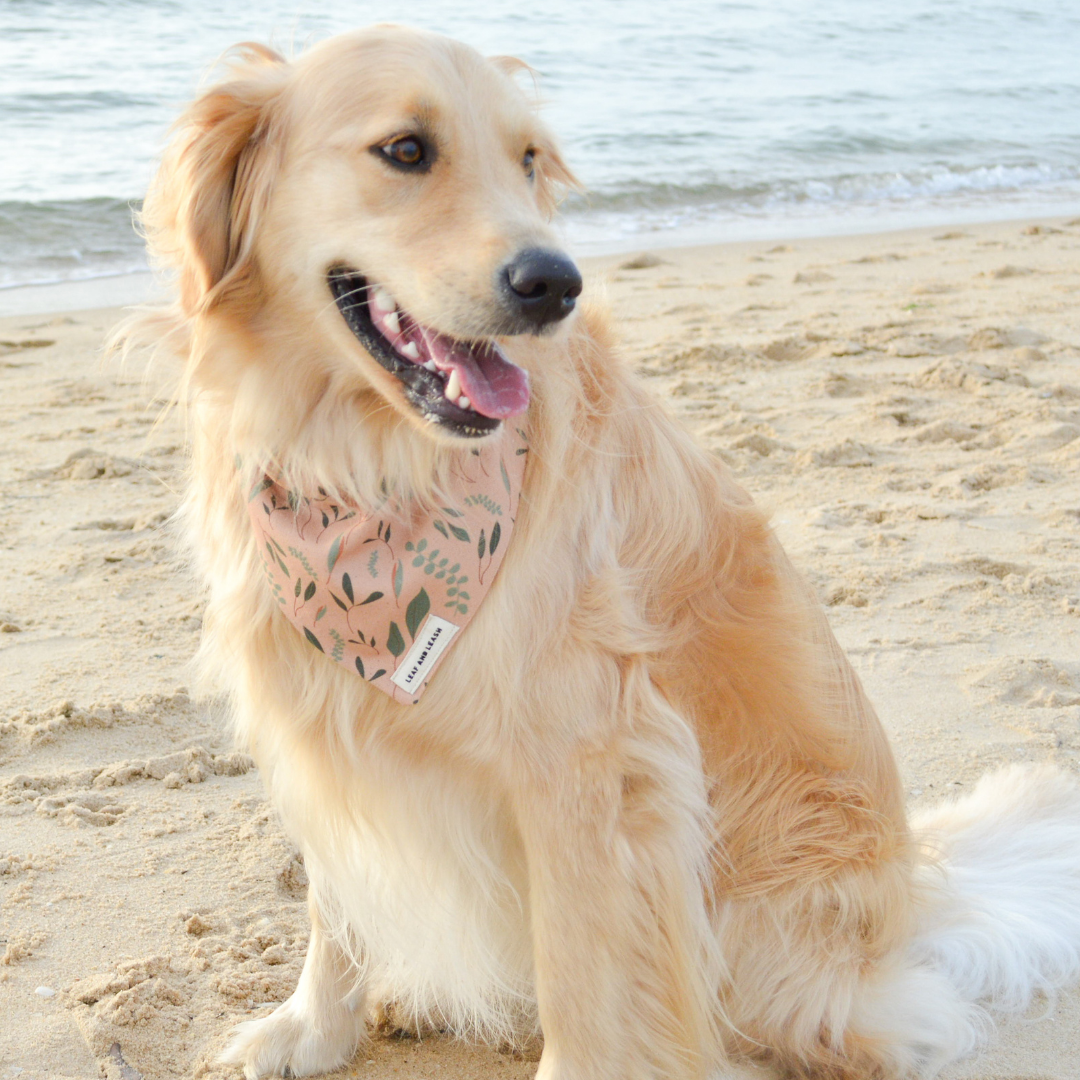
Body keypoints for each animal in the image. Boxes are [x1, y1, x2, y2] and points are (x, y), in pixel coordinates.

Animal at [124, 25, 1080, 1080]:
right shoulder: (327, 710)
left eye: (528, 159)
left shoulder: (590, 761)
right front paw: (311, 1029)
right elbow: (337, 897)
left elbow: (585, 972)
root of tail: (918, 896)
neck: (368, 472)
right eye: (406, 150)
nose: (556, 284)